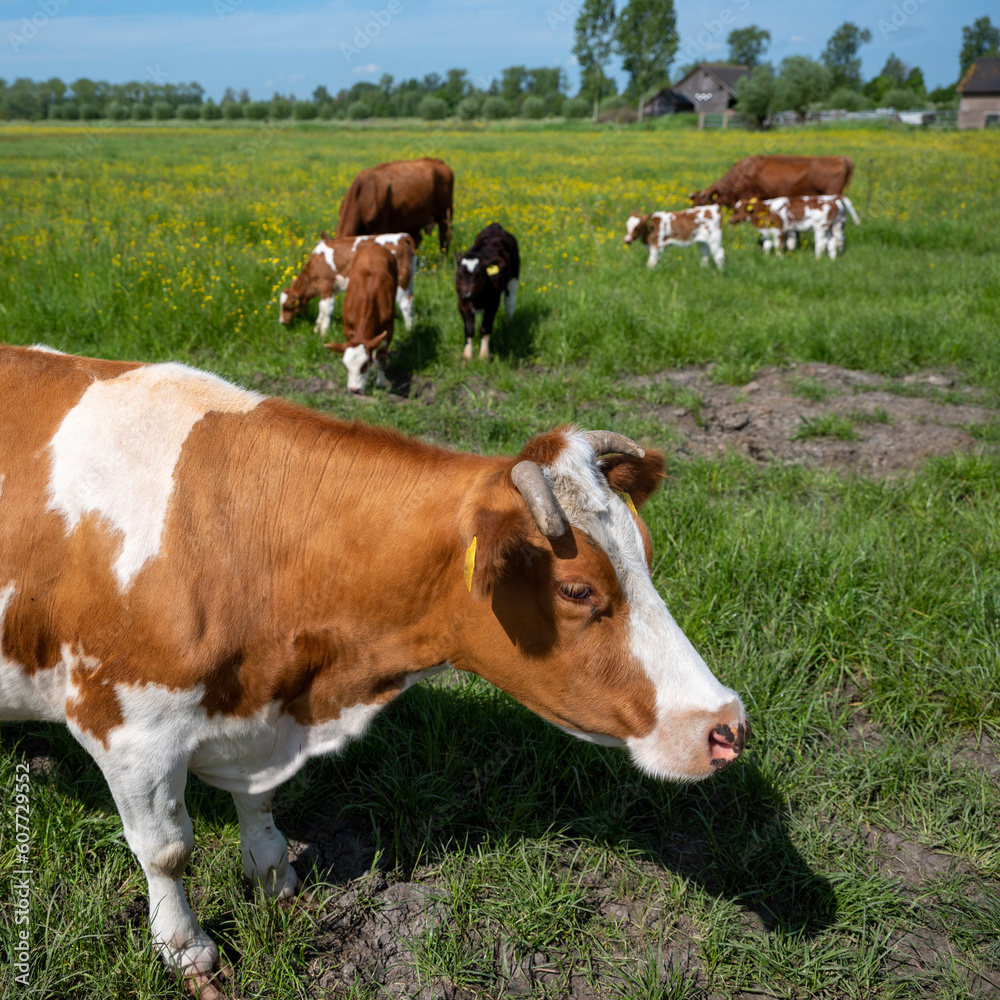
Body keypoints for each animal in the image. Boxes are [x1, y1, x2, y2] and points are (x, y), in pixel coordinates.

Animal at [0, 346, 748, 1000]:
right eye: (576, 589)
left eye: (644, 553)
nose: (727, 725)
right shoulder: (126, 728)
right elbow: (167, 851)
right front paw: (187, 951)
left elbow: (261, 803)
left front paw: (273, 874)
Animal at [278, 231, 414, 336]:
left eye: (288, 306)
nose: (281, 322)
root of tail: (403, 236)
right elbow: (321, 307)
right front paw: (317, 328)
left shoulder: (327, 286)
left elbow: (325, 308)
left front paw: (323, 333)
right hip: (408, 280)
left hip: (401, 281)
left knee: (405, 303)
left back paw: (408, 330)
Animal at [324, 242, 394, 394]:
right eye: (345, 366)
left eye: (365, 364)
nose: (354, 389)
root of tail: (374, 245)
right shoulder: (347, 328)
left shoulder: (389, 329)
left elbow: (380, 357)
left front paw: (381, 382)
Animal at [728, 193, 860, 260]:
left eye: (737, 210)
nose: (730, 220)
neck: (767, 209)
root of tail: (833, 199)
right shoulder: (768, 232)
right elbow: (767, 246)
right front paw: (766, 258)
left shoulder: (780, 230)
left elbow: (778, 246)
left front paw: (780, 259)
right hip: (836, 226)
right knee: (834, 242)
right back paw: (832, 259)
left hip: (820, 227)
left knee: (821, 243)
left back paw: (817, 259)